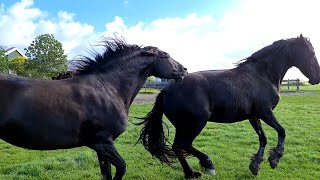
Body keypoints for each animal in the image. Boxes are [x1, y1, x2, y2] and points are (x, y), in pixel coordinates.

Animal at [0, 37, 188, 179]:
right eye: (166, 55)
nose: (184, 70)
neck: (107, 88)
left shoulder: (102, 148)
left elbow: (107, 173)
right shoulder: (102, 142)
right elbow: (121, 168)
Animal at [138, 34, 320, 178]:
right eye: (311, 53)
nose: (316, 78)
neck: (262, 75)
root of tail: (165, 91)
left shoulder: (254, 116)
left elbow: (263, 138)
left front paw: (255, 165)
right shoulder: (265, 112)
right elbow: (282, 131)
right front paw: (274, 159)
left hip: (183, 126)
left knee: (179, 147)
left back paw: (191, 173)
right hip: (195, 123)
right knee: (182, 145)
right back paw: (207, 165)